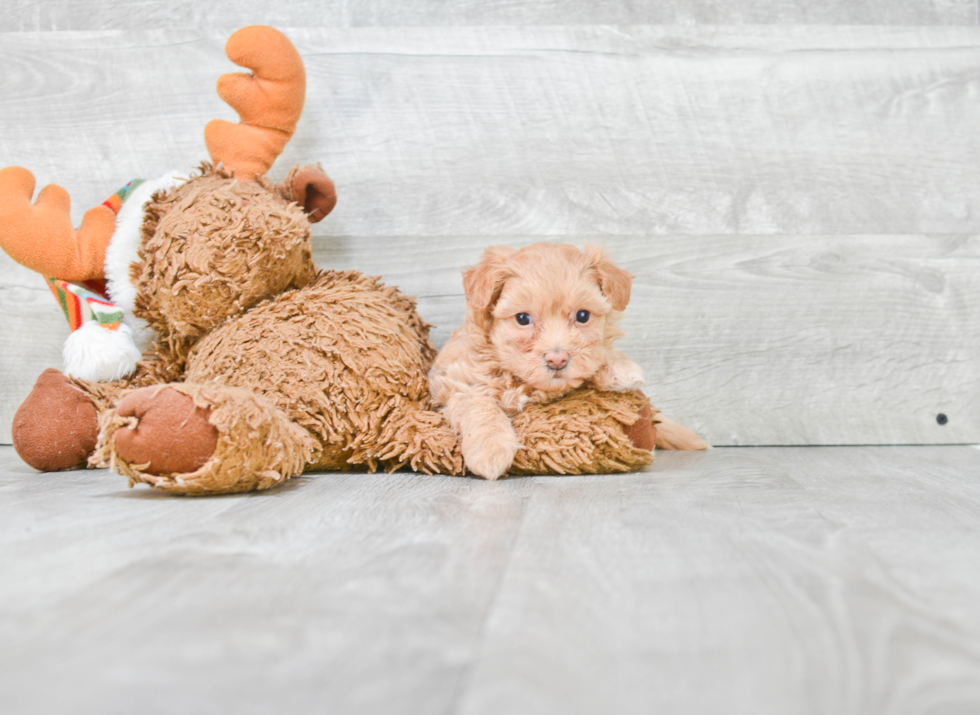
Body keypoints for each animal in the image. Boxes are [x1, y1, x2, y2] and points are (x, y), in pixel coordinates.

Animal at [430, 242, 648, 482]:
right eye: (523, 319)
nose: (557, 359)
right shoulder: (455, 381)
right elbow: (479, 404)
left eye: (582, 316)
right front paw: (490, 449)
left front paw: (619, 368)